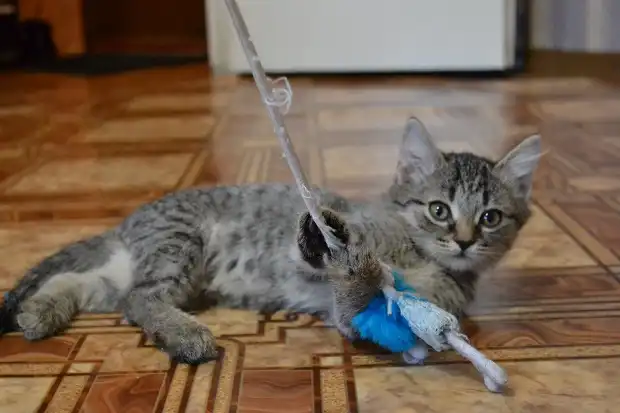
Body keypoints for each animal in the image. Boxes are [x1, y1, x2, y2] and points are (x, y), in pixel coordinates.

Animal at [0, 117, 541, 364]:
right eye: (438, 210)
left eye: (490, 217)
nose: (465, 241)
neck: (413, 250)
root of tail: (131, 222)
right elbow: (335, 248)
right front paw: (330, 237)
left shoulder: (367, 312)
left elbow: (360, 306)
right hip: (180, 244)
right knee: (139, 298)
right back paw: (184, 334)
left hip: (140, 269)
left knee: (92, 285)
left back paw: (39, 312)